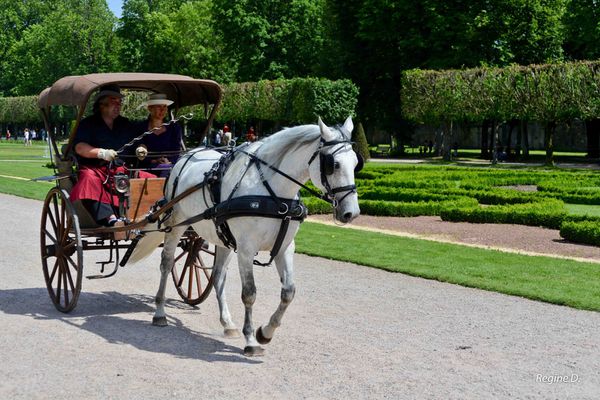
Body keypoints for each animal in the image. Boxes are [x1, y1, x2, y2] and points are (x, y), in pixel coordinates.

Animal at [128, 116, 358, 356]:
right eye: (333, 164)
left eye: (355, 163)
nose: (350, 213)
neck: (274, 194)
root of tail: (187, 155)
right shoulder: (247, 249)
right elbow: (249, 293)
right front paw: (251, 340)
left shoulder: (285, 247)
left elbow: (288, 292)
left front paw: (265, 332)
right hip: (175, 226)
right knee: (167, 264)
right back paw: (160, 312)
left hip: (221, 237)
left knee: (217, 275)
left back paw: (227, 323)